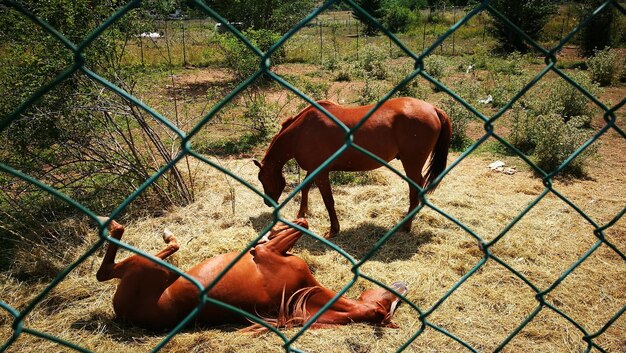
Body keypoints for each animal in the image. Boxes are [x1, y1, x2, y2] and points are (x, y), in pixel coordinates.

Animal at [95, 216, 408, 328]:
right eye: (391, 300)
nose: (403, 286)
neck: (302, 294)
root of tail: (125, 316)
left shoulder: (268, 254)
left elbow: (301, 223)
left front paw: (270, 232)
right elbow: (299, 223)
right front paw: (272, 230)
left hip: (154, 267)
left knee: (105, 271)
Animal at [251, 97, 450, 236]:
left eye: (263, 178)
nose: (267, 202)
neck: (301, 132)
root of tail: (433, 109)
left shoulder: (321, 173)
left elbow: (328, 201)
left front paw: (333, 230)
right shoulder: (314, 169)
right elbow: (305, 188)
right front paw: (302, 214)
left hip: (412, 163)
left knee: (415, 190)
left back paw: (406, 226)